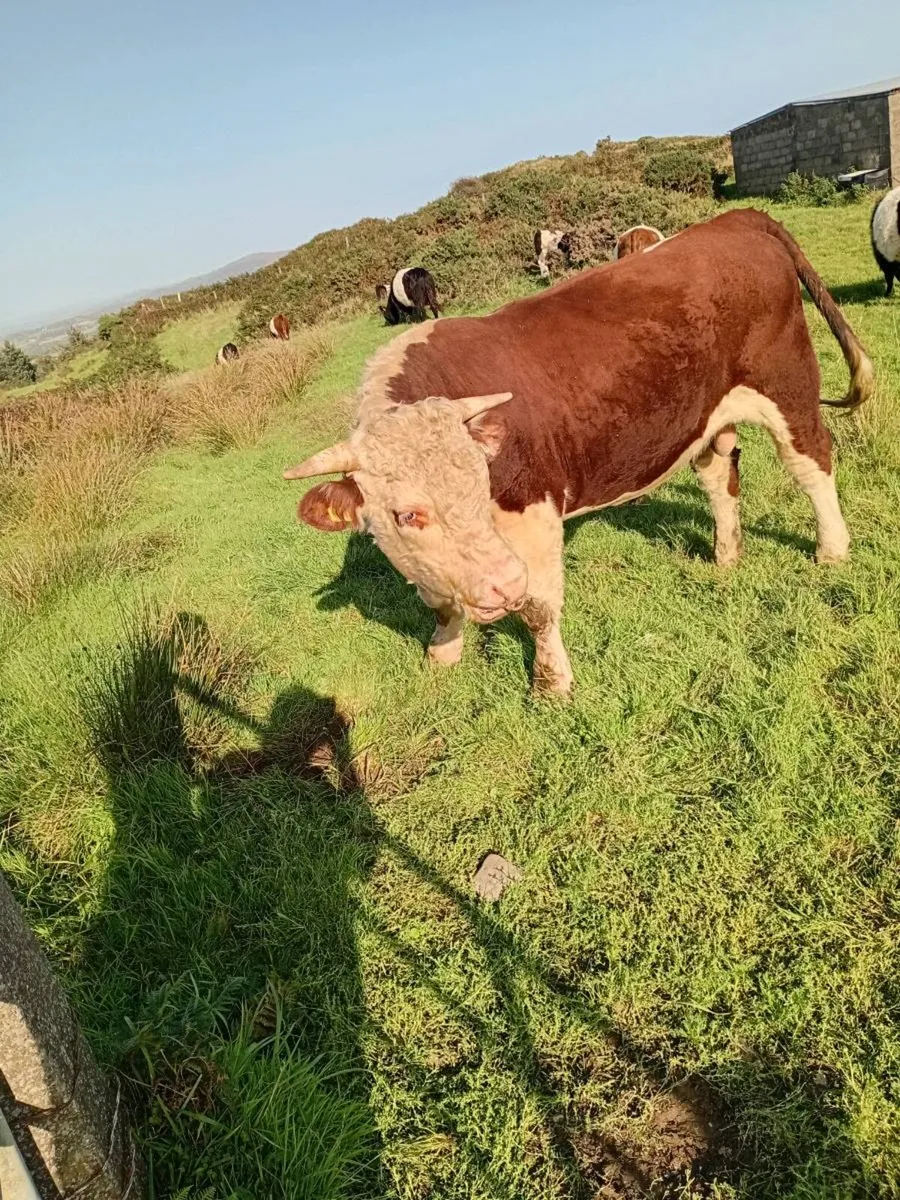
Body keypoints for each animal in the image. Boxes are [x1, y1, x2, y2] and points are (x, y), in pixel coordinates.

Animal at [284, 209, 873, 698]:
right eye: (407, 515)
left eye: (482, 485)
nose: (503, 583)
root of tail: (734, 219)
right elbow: (440, 599)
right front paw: (442, 652)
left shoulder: (534, 515)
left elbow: (540, 608)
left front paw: (551, 685)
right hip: (707, 414)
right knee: (719, 477)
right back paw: (726, 557)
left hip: (787, 385)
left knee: (811, 462)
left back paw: (832, 550)